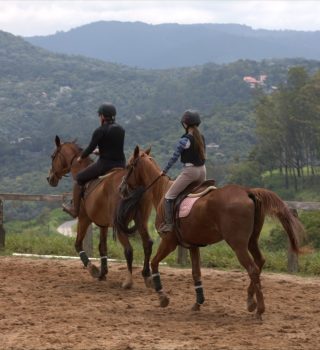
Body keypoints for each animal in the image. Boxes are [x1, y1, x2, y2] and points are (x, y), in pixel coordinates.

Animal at [46, 135, 154, 288]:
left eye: (53, 156)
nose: (49, 178)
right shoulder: (103, 224)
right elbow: (103, 247)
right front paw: (103, 272)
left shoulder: (84, 219)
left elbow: (78, 244)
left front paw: (93, 269)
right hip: (141, 221)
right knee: (148, 244)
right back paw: (147, 276)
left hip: (119, 224)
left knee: (128, 249)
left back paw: (128, 281)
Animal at [116, 146, 304, 318]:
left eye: (129, 166)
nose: (121, 188)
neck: (161, 192)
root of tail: (246, 191)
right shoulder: (193, 246)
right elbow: (196, 273)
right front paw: (197, 303)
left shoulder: (169, 242)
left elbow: (154, 263)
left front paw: (163, 298)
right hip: (251, 241)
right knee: (259, 262)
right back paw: (251, 302)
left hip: (238, 244)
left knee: (252, 269)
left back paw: (259, 309)